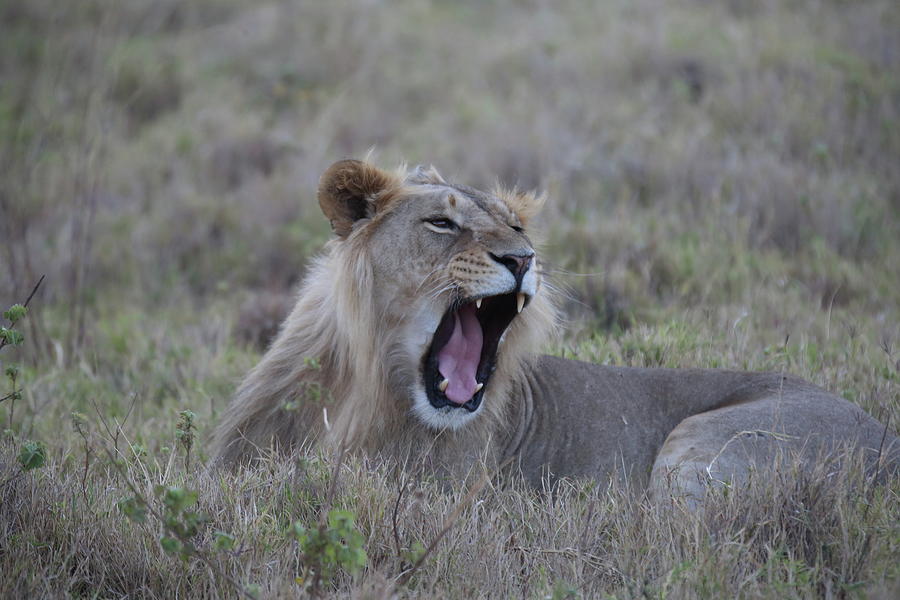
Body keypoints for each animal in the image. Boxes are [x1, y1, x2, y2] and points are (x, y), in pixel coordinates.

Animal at [214, 159, 896, 502]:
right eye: (442, 224)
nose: (522, 259)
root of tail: (887, 438)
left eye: (516, 225)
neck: (362, 388)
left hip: (698, 450)